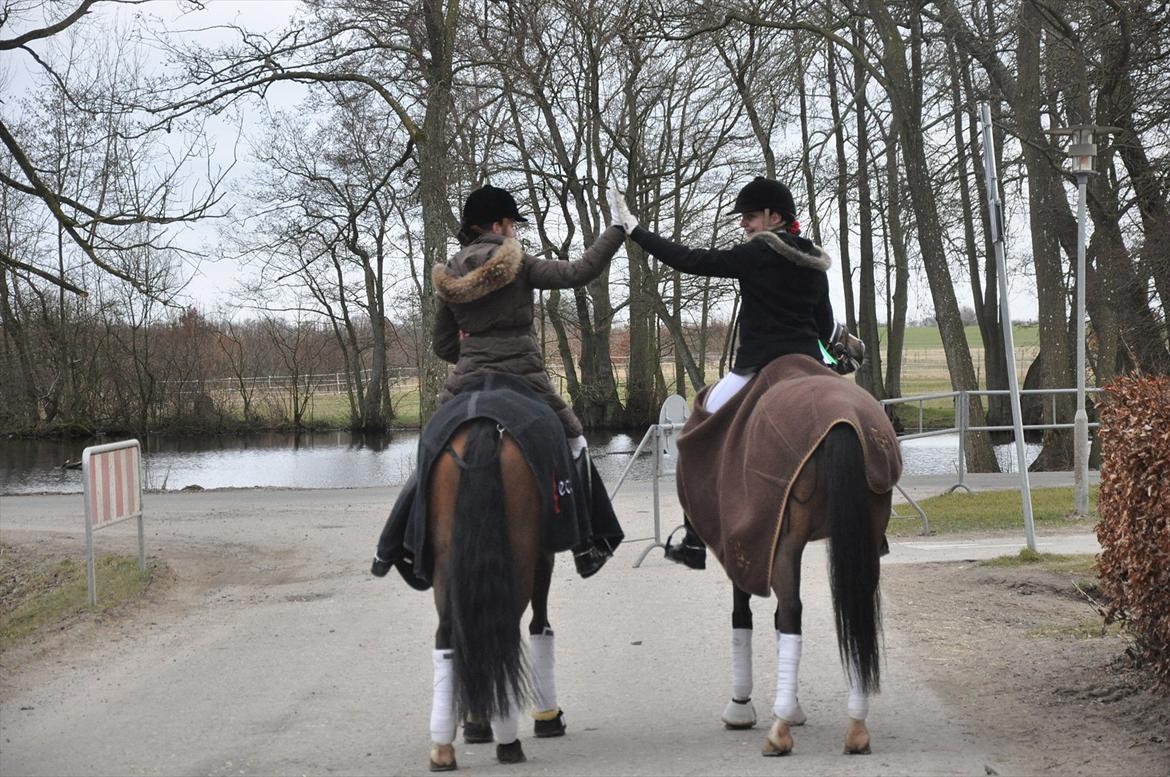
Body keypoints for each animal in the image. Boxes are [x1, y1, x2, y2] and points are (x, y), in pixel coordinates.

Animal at [425, 418, 561, 772]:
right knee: (504, 633)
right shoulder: (543, 556)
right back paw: (509, 742)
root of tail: (484, 428)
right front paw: (547, 717)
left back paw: (443, 748)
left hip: (448, 564)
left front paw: (476, 722)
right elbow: (540, 625)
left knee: (452, 634)